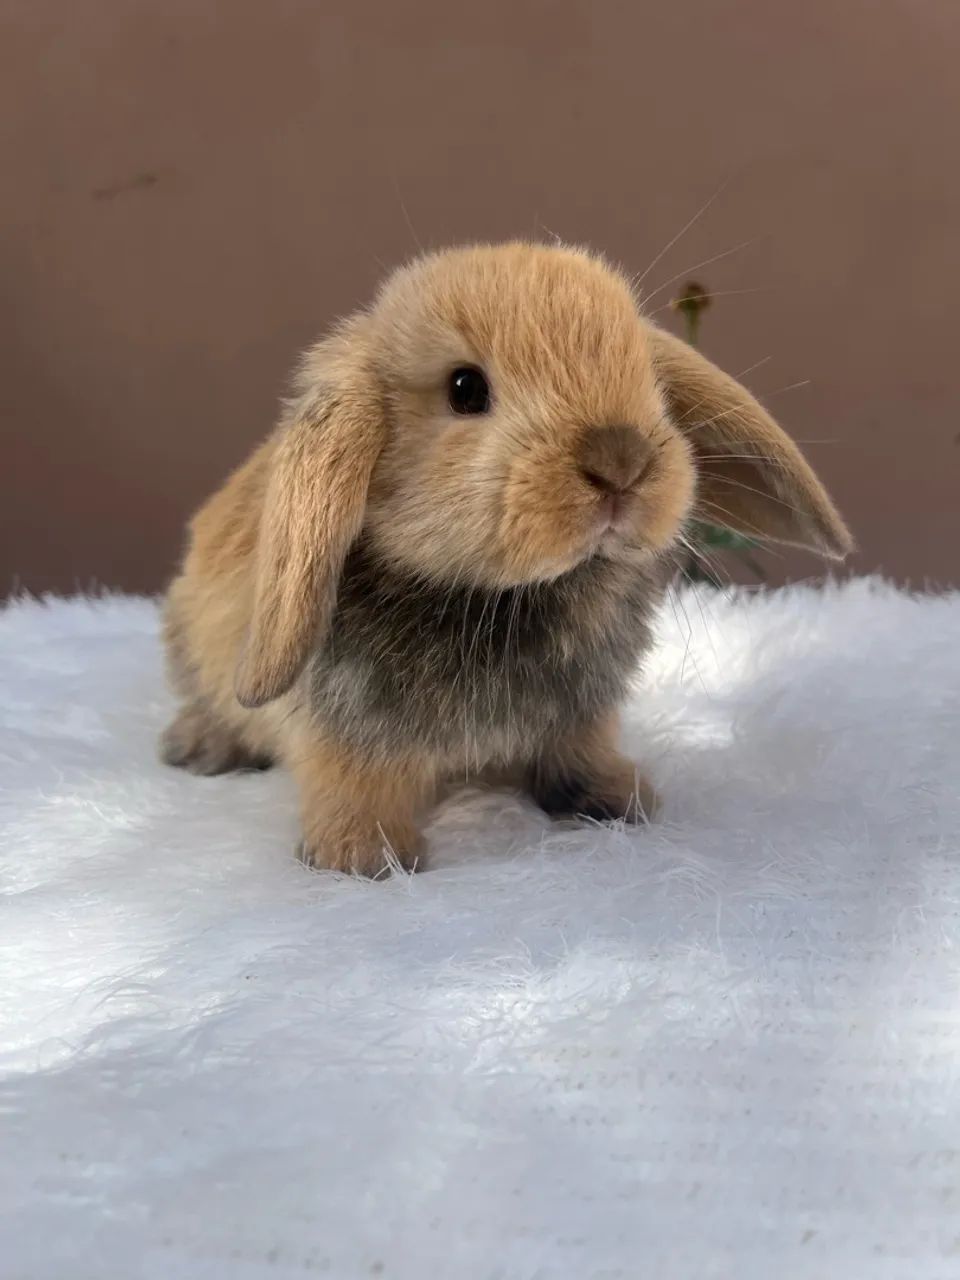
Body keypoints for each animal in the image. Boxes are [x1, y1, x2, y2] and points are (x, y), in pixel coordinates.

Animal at [160, 241, 852, 875]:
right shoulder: (345, 727)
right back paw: (196, 749)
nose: (620, 459)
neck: (502, 597)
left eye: (646, 377)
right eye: (466, 388)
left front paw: (617, 800)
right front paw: (361, 857)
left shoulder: (581, 716)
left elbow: (577, 755)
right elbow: (355, 781)